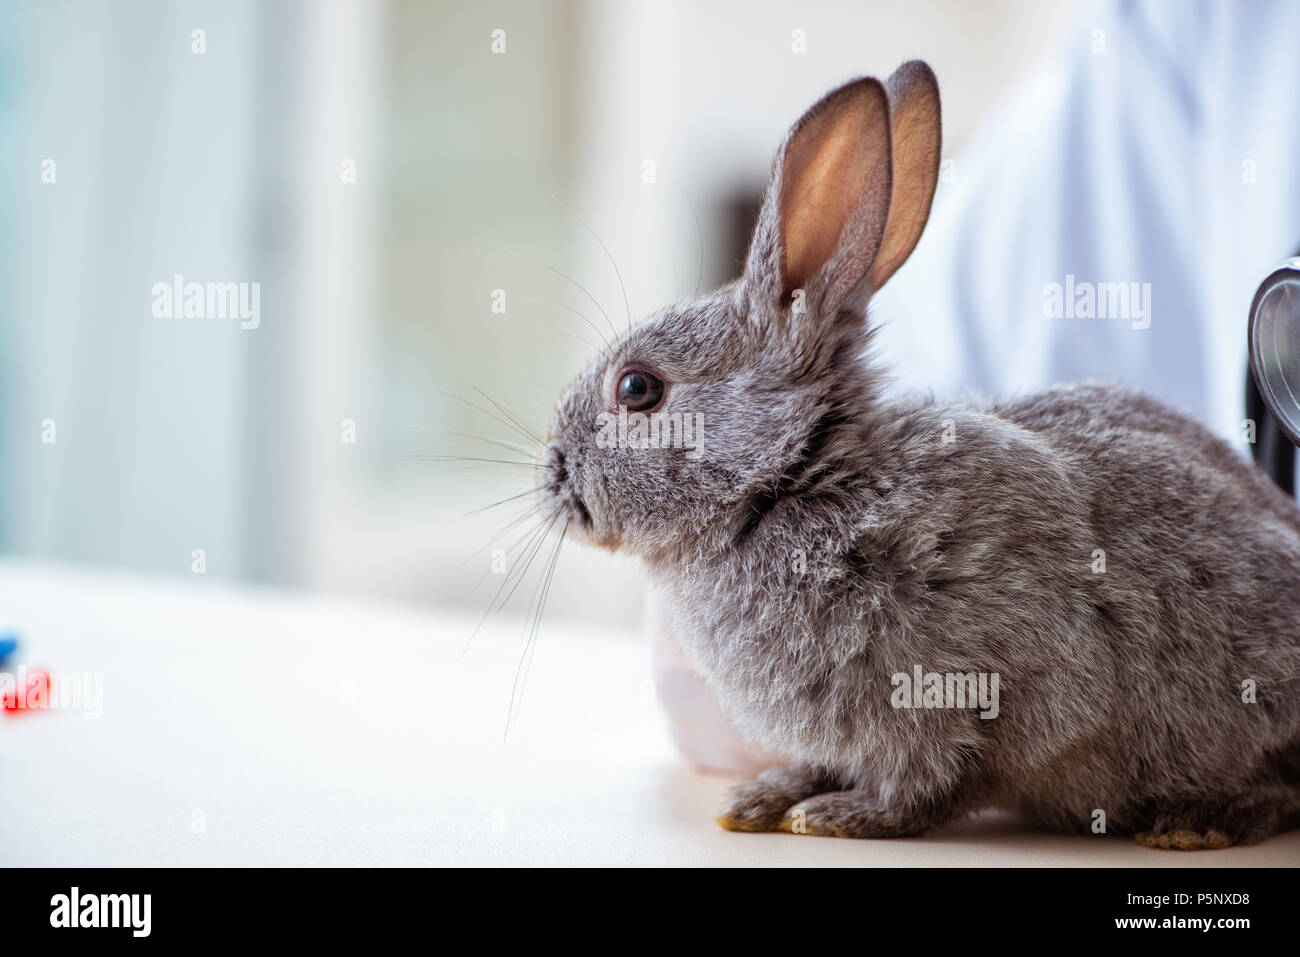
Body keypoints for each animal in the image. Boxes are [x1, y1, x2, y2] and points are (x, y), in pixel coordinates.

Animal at [537, 60, 1300, 847]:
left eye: (638, 388)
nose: (551, 476)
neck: (790, 478)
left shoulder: (978, 686)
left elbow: (935, 780)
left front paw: (841, 815)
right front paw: (764, 796)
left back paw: (1196, 822)